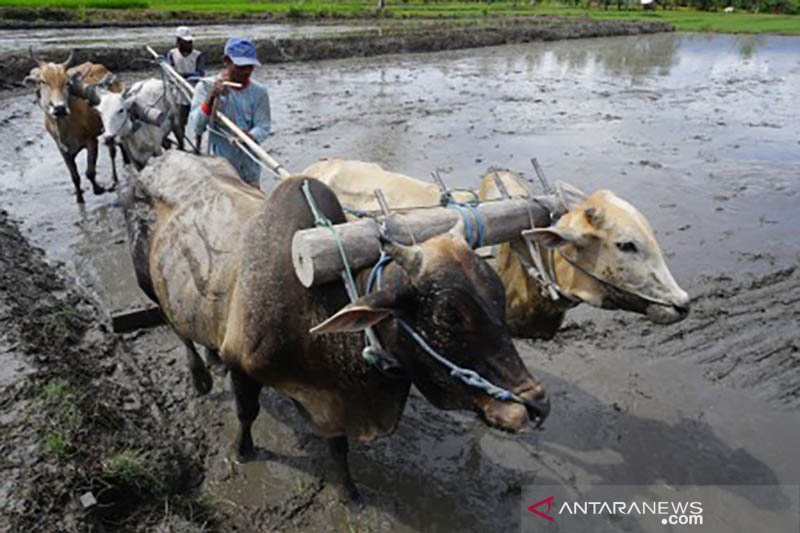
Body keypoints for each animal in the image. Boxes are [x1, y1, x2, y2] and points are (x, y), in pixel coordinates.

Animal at [125, 152, 552, 500]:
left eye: (499, 299)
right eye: (449, 315)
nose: (536, 405)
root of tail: (153, 161)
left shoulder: (335, 400)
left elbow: (338, 448)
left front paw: (347, 489)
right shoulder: (243, 365)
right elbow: (247, 413)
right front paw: (242, 451)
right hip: (151, 286)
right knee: (180, 332)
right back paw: (200, 375)